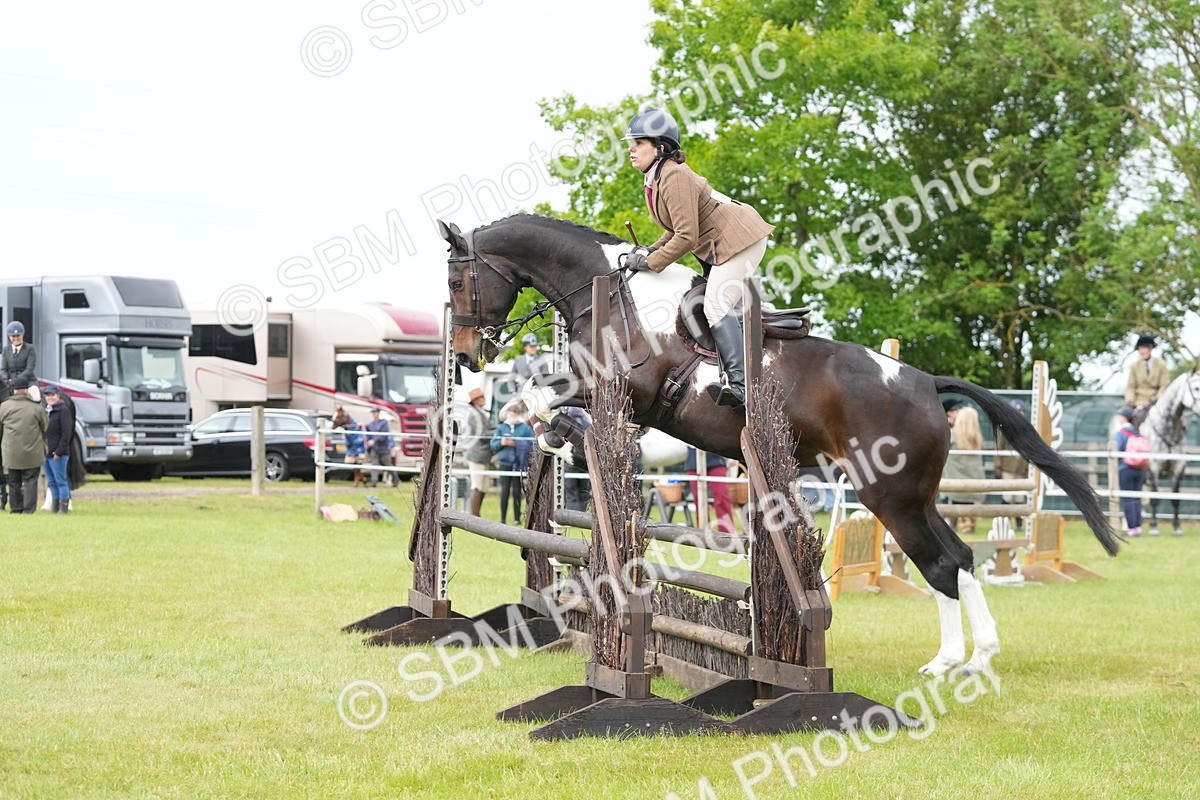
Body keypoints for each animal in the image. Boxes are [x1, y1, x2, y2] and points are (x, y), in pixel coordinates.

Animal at [440, 213, 1120, 677]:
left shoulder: (625, 385)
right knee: (958, 557)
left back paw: (953, 662)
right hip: (916, 497)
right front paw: (558, 440)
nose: (468, 354)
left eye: (458, 282)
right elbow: (553, 407)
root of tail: (927, 382)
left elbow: (539, 397)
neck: (612, 294)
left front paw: (551, 432)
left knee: (942, 563)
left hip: (890, 496)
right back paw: (972, 659)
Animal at [1137, 368, 1200, 536]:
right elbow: (1155, 498)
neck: (1168, 428)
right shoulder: (1154, 468)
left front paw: (1177, 527)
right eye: (1196, 388)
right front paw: (1154, 527)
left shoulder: (1178, 468)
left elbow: (1175, 498)